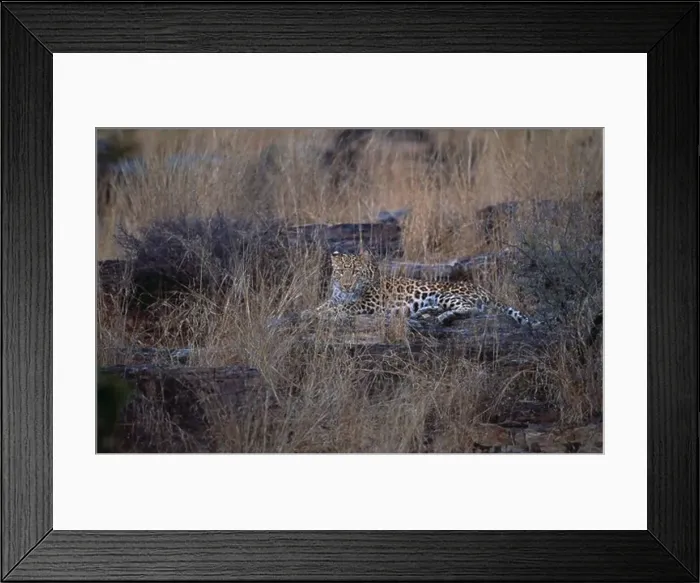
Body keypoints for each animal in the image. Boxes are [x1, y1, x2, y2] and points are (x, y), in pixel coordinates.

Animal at [308, 248, 543, 329]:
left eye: (356, 272)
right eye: (341, 272)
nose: (347, 285)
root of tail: (488, 292)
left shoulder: (367, 303)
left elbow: (343, 308)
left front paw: (325, 314)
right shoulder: (335, 298)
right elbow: (323, 305)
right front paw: (309, 312)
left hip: (447, 294)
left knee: (471, 309)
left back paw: (442, 318)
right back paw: (423, 313)